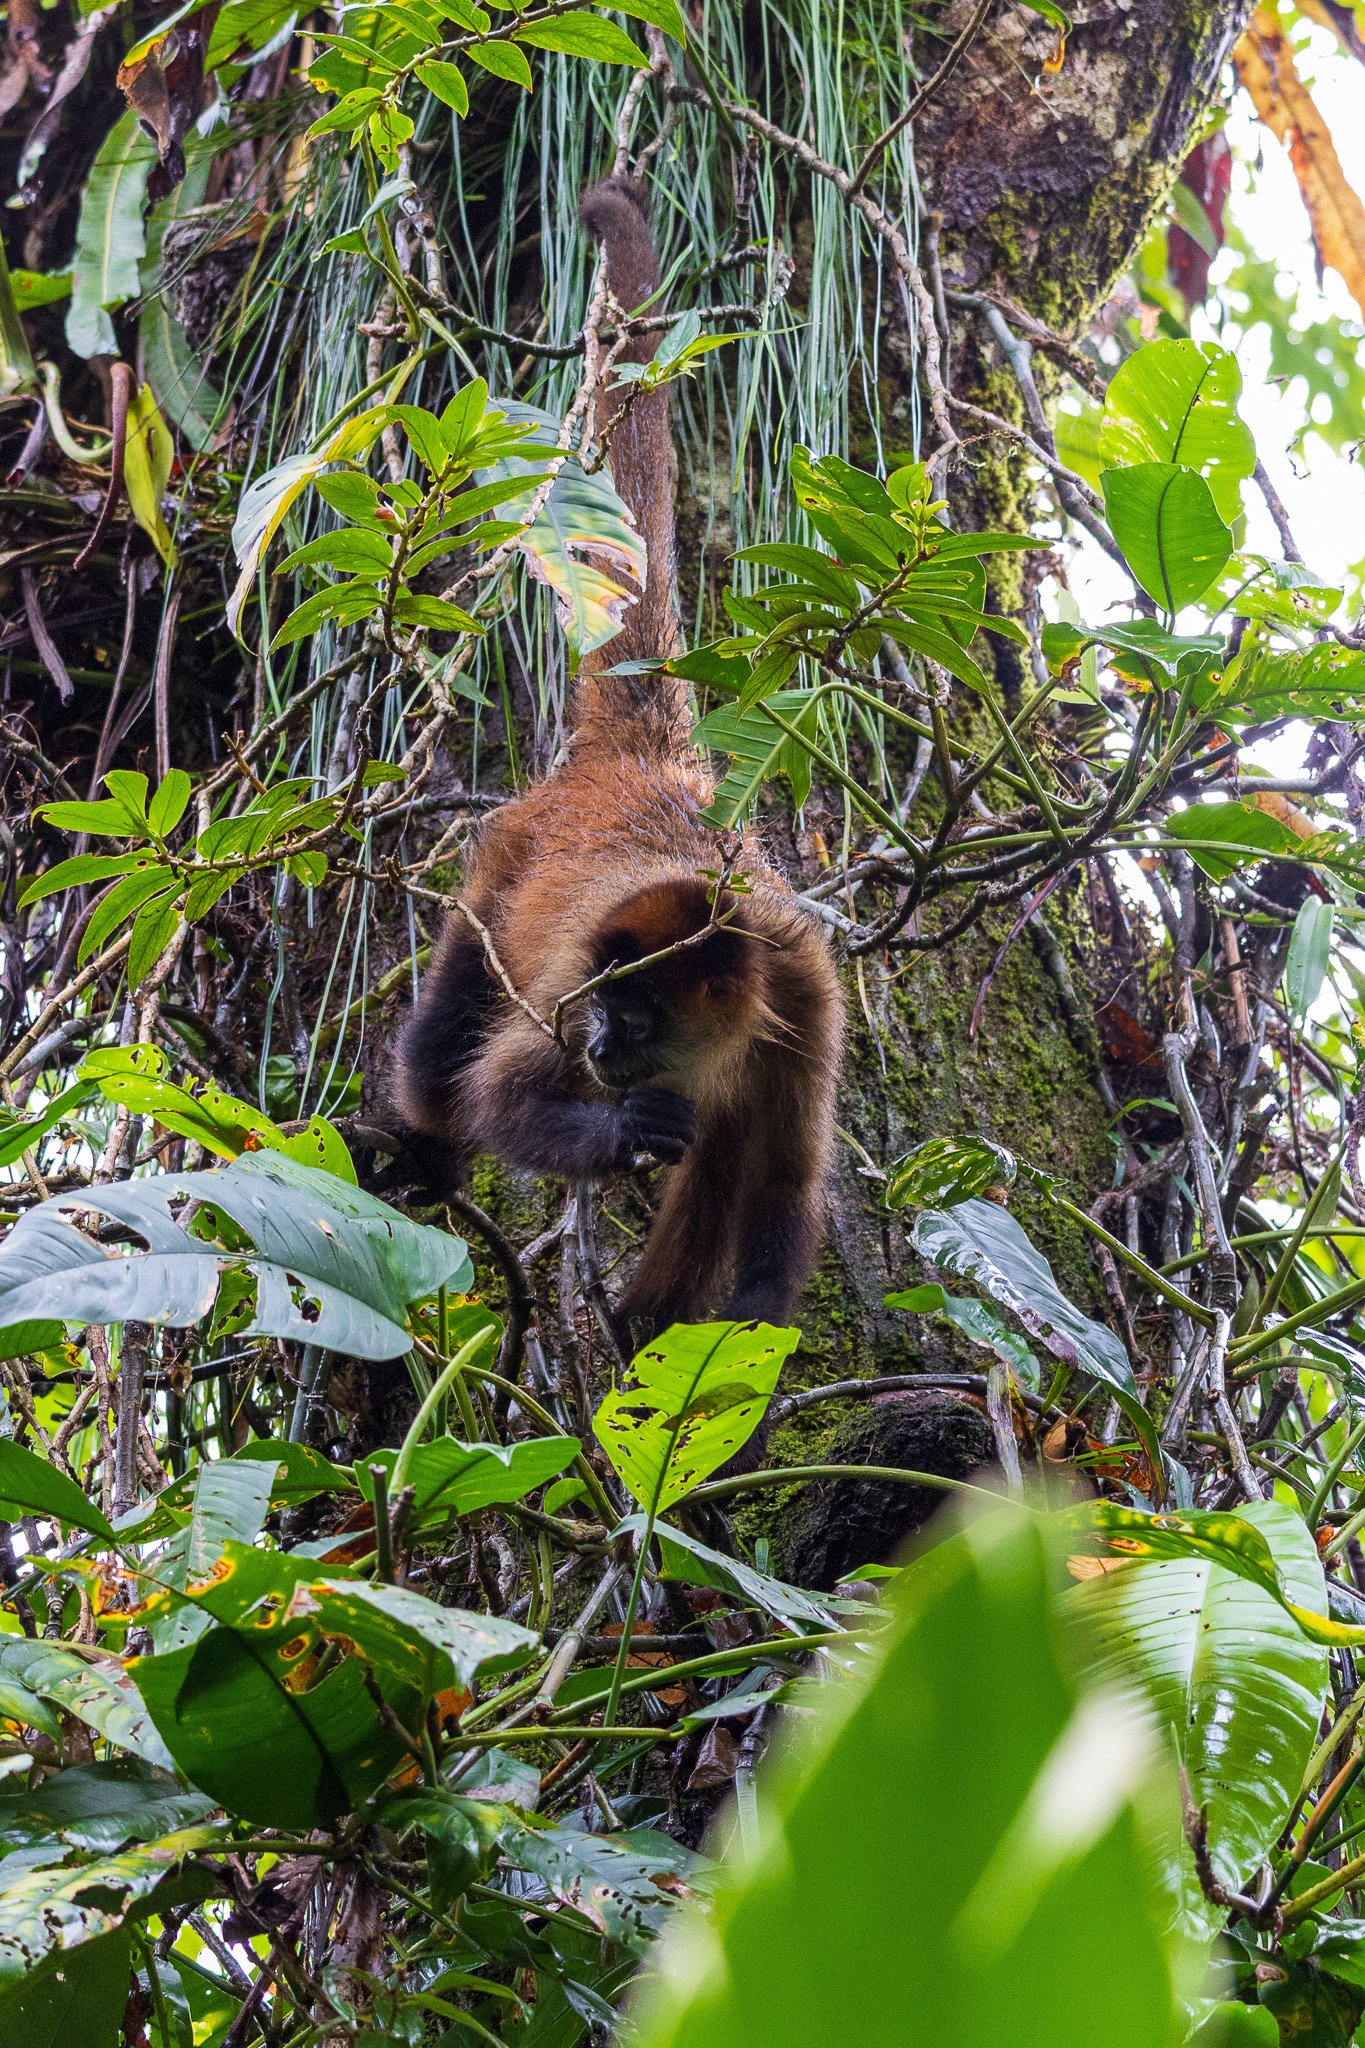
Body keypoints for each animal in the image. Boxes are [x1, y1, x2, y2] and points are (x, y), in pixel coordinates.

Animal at [392, 176, 843, 1327]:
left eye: (632, 1020)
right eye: (600, 1011)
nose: (597, 1049)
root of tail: (644, 763)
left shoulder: (805, 1001)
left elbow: (783, 1182)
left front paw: (748, 1351)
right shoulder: (573, 975)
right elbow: (497, 1088)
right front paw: (619, 1133)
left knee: (727, 1148)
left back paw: (649, 1322)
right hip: (508, 846)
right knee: (444, 1044)